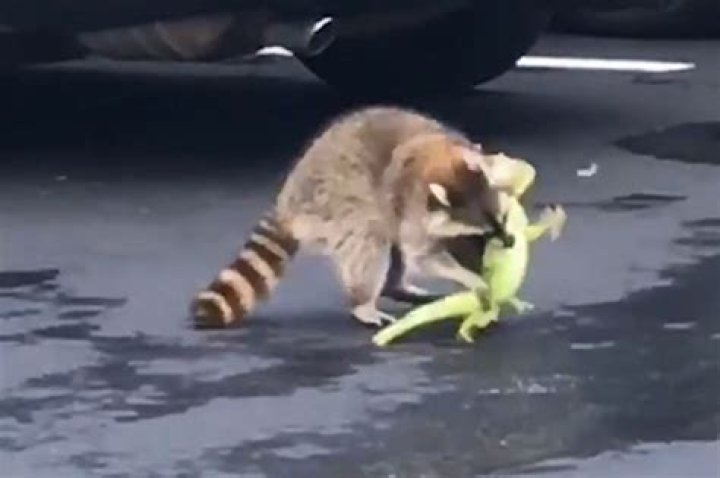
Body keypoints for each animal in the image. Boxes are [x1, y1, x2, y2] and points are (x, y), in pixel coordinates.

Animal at [191, 106, 515, 329]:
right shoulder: (412, 207)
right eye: (481, 232)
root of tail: (289, 194)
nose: (510, 242)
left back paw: (395, 287)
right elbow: (423, 257)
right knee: (370, 239)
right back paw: (363, 303)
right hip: (336, 201)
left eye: (501, 219)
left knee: (388, 243)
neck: (440, 161)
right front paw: (471, 277)